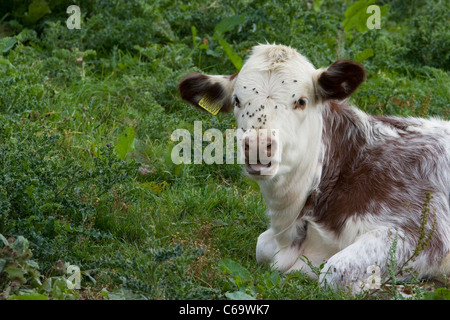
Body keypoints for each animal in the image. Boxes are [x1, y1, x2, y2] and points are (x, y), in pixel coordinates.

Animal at [178, 43, 448, 292]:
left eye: (301, 101)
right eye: (237, 100)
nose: (257, 145)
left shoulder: (423, 232)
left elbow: (333, 272)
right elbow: (261, 246)